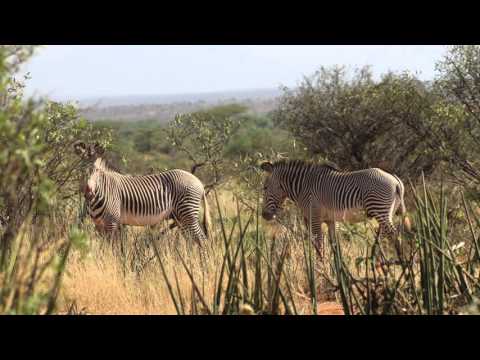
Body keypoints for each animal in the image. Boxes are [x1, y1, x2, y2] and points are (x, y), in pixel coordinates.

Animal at [73, 141, 210, 248]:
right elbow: (105, 249)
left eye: (96, 171)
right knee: (192, 241)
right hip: (180, 217)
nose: (88, 193)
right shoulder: (99, 226)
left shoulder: (112, 223)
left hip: (188, 213)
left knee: (201, 240)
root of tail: (198, 181)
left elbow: (112, 250)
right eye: (80, 169)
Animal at [260, 160, 406, 258]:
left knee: (394, 234)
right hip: (386, 212)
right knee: (385, 235)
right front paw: (336, 269)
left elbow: (319, 244)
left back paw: (400, 263)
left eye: (265, 188)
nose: (264, 215)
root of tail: (395, 181)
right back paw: (377, 259)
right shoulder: (330, 220)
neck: (303, 187)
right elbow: (334, 245)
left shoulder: (314, 217)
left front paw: (320, 268)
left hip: (379, 209)